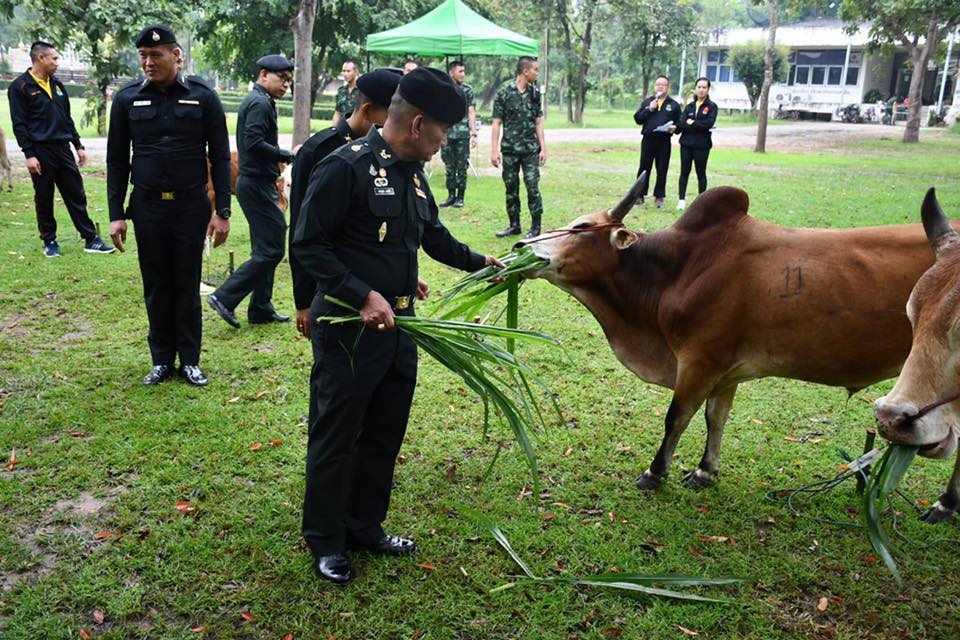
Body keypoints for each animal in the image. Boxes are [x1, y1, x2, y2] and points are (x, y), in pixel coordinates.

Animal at [520, 175, 940, 490]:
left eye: (581, 228)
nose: (522, 244)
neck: (675, 270)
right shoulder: (727, 369)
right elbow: (715, 417)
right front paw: (705, 471)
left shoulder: (699, 361)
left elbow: (677, 417)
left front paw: (655, 473)